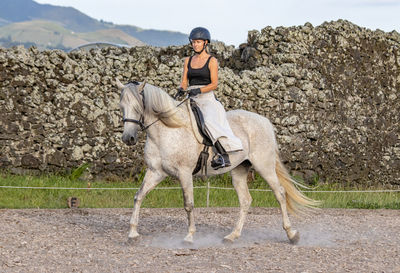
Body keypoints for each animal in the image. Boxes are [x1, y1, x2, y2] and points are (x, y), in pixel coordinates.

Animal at [115, 78, 318, 242]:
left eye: (138, 107)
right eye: (121, 106)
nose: (128, 139)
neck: (167, 129)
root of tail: (264, 121)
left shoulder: (184, 173)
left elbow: (188, 205)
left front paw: (189, 237)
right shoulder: (156, 172)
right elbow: (139, 196)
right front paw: (132, 234)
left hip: (264, 166)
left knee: (280, 194)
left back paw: (291, 234)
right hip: (239, 170)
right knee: (246, 200)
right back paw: (232, 236)